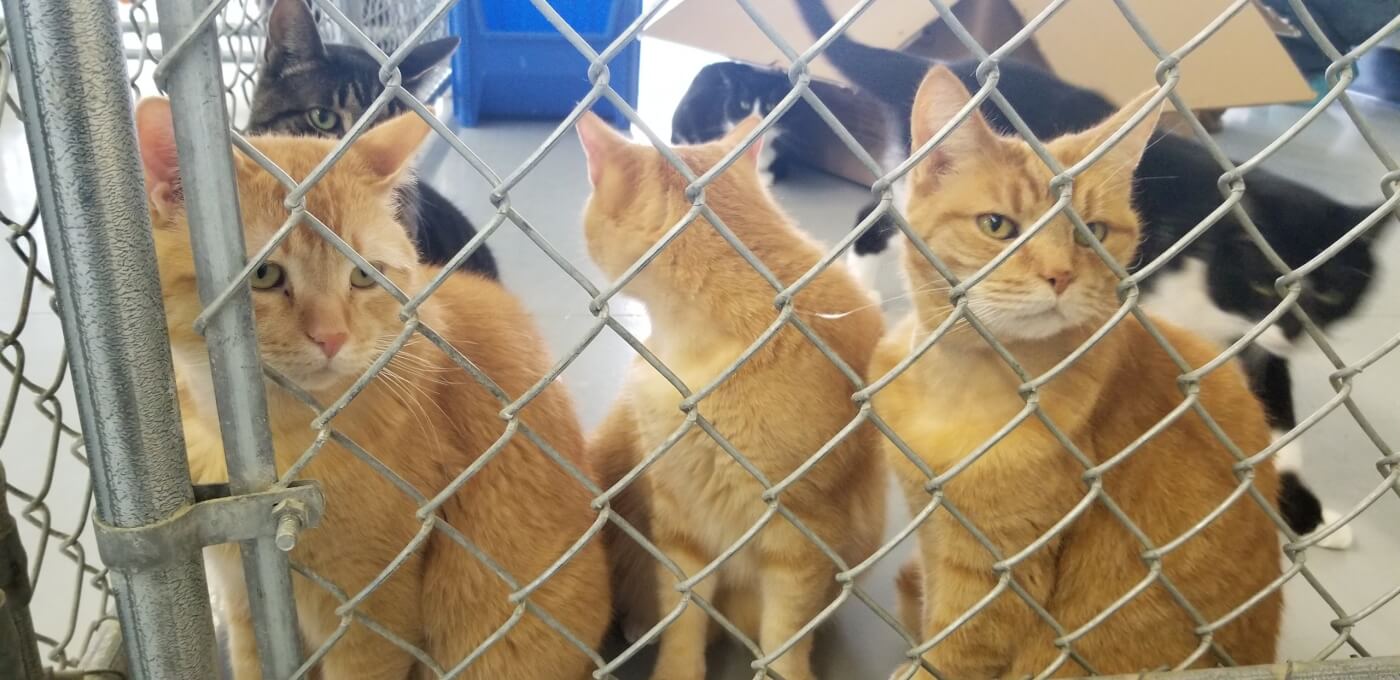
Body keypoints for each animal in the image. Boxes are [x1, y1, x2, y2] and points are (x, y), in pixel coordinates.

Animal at [672, 0, 1394, 548]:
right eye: (1263, 282)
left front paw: (1313, 511)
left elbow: (1279, 409)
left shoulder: (1249, 340)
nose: (1296, 332)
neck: (1209, 254)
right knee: (871, 222)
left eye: (1334, 293)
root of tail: (945, 64)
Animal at [873, 66, 1282, 677]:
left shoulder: (995, 573)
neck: (959, 386)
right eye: (997, 226)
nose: (1060, 275)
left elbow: (949, 652)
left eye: (1092, 232)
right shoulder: (935, 533)